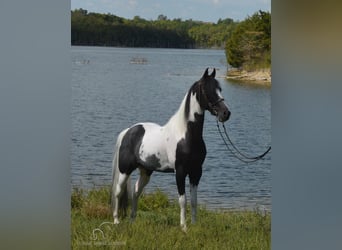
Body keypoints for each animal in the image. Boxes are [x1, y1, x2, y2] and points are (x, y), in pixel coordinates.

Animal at [111, 67, 231, 229]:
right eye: (208, 90)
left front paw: (194, 225)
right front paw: (184, 227)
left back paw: (132, 220)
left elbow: (194, 201)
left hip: (146, 171)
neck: (185, 135)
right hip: (125, 170)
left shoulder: (196, 172)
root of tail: (128, 131)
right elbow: (183, 200)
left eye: (220, 89)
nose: (226, 113)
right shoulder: (179, 172)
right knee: (118, 192)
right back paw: (116, 221)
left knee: (136, 192)